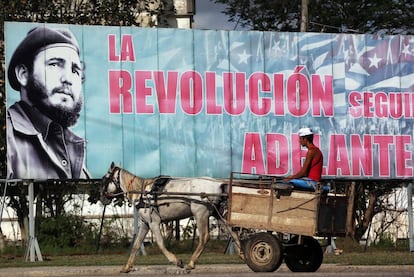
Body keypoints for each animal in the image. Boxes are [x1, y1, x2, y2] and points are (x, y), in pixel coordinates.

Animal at [99, 162, 231, 272]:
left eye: (105, 179)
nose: (102, 198)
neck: (142, 193)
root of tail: (218, 183)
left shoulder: (154, 222)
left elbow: (160, 243)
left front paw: (176, 261)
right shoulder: (145, 224)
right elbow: (136, 245)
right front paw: (127, 267)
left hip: (200, 214)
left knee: (204, 237)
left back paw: (191, 263)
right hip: (217, 214)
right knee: (231, 232)